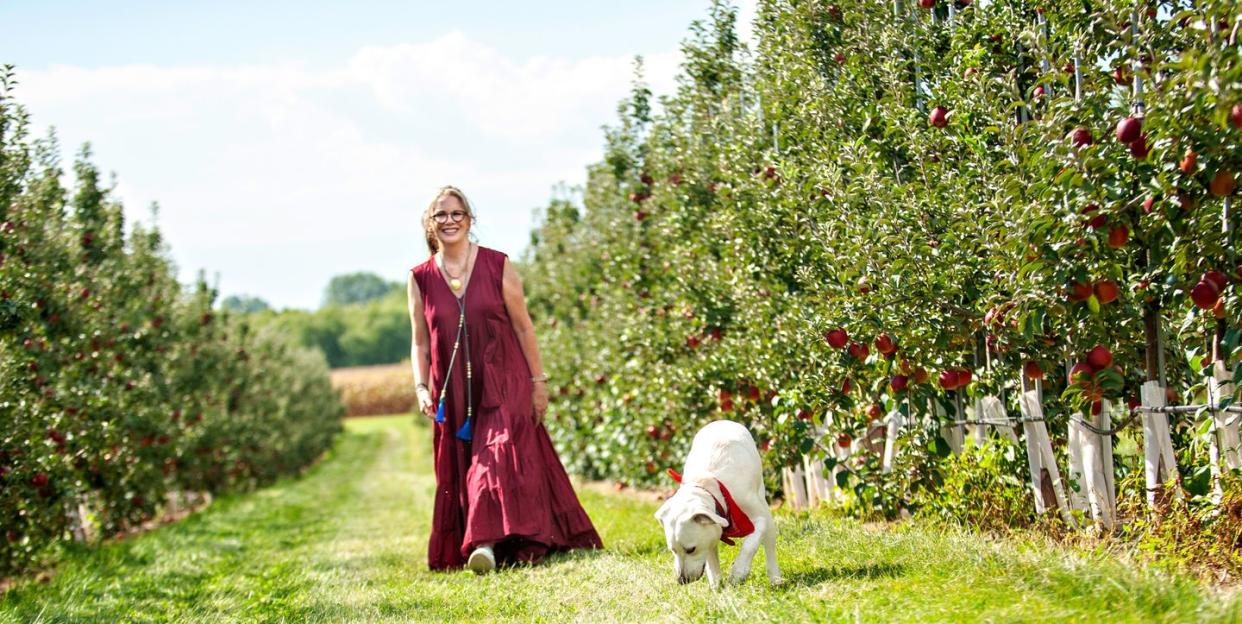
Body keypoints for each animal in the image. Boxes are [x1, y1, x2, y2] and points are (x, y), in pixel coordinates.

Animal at [655, 420, 779, 584]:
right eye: (673, 550)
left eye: (691, 549)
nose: (681, 580)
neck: (710, 488)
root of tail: (723, 421)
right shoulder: (709, 535)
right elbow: (711, 562)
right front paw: (717, 586)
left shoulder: (759, 518)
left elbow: (750, 545)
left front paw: (739, 571)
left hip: (764, 505)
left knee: (769, 543)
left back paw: (776, 578)